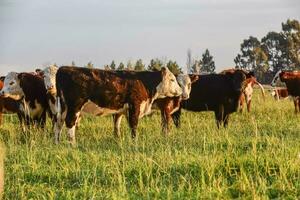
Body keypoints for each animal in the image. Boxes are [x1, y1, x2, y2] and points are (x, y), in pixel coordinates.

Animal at [54, 66, 183, 144]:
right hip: (74, 106)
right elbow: (134, 126)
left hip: (63, 107)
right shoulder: (134, 106)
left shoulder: (121, 110)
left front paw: (118, 140)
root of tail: (63, 69)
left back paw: (57, 142)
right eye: (172, 79)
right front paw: (134, 142)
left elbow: (117, 125)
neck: (144, 83)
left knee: (58, 123)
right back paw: (72, 144)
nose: (181, 91)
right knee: (70, 123)